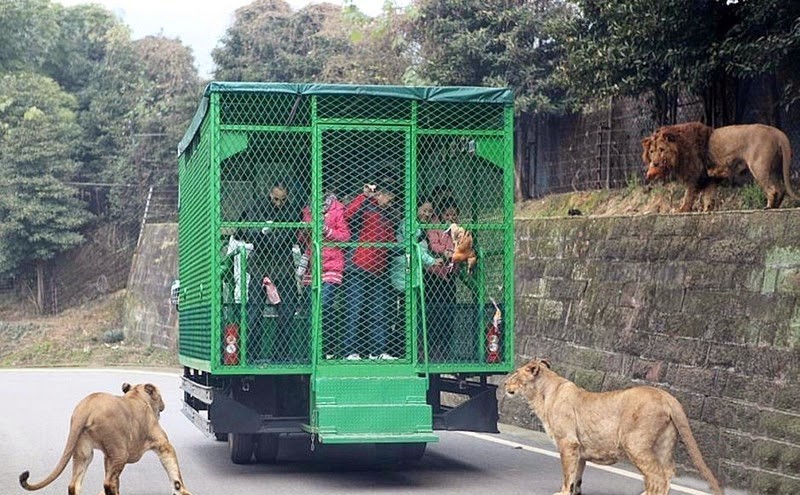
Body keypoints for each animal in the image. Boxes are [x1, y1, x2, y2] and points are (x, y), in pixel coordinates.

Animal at [19, 384, 192, 495]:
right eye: (160, 396)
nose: (163, 405)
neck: (137, 395)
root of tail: (85, 407)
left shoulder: (107, 457)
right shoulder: (163, 444)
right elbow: (175, 472)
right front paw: (182, 490)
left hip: (84, 454)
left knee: (74, 485)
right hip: (120, 453)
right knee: (108, 483)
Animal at [506, 360, 724, 495]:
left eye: (516, 373)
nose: (505, 382)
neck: (542, 394)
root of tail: (666, 396)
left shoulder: (568, 443)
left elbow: (568, 474)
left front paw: (563, 492)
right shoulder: (580, 449)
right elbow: (577, 475)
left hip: (635, 444)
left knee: (657, 476)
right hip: (664, 443)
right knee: (668, 472)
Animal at [644, 122, 800, 213]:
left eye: (662, 150)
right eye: (652, 151)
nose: (655, 164)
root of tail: (778, 132)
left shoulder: (694, 175)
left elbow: (688, 195)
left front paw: (681, 210)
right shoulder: (709, 177)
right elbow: (709, 196)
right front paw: (707, 210)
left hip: (759, 167)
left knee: (773, 189)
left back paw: (769, 207)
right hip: (774, 168)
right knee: (781, 188)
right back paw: (775, 206)